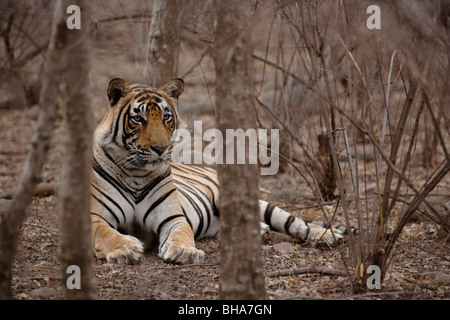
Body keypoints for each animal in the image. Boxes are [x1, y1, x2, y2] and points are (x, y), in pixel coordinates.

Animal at [90, 78, 344, 264]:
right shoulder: (95, 218)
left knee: (296, 223)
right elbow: (107, 234)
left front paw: (184, 251)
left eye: (166, 118)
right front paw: (125, 249)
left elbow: (181, 234)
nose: (161, 149)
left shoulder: (172, 217)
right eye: (138, 119)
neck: (137, 173)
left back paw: (328, 235)